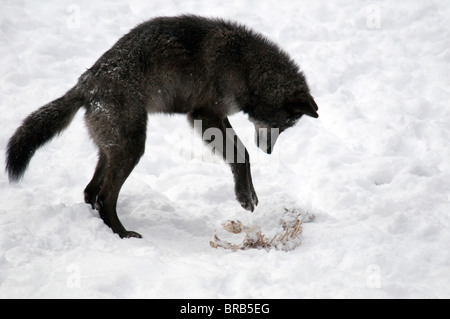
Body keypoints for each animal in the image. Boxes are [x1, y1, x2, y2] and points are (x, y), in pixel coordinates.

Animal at [5, 15, 318, 240]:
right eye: (282, 126)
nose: (268, 151)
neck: (245, 66)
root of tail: (86, 83)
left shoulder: (215, 116)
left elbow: (241, 155)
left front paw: (249, 195)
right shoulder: (204, 114)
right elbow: (241, 154)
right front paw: (245, 197)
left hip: (113, 151)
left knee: (89, 192)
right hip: (132, 148)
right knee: (104, 197)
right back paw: (123, 234)